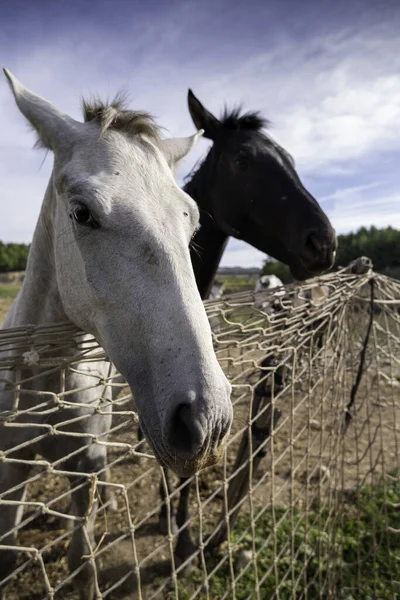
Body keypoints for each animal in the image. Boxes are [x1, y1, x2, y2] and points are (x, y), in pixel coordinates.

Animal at [0, 71, 231, 600]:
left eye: (192, 221)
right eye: (82, 212)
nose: (206, 422)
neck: (45, 378)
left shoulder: (83, 467)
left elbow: (81, 560)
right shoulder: (10, 470)